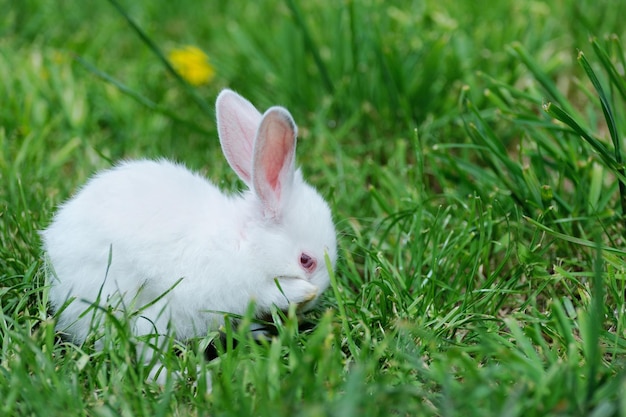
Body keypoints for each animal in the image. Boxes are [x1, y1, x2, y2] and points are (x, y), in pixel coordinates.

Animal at [42, 89, 336, 368]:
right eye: (306, 260)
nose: (316, 295)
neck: (244, 244)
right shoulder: (236, 287)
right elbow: (269, 293)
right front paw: (301, 292)